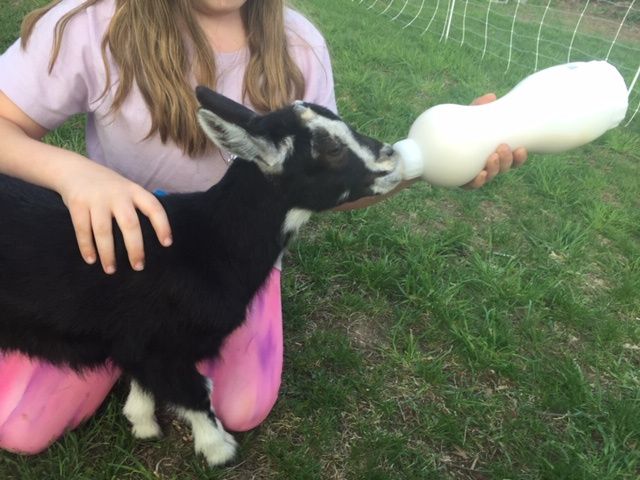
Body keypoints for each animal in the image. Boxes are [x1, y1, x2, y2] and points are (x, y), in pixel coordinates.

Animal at [0, 87, 402, 464]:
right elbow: (198, 392)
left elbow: (147, 384)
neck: (212, 243)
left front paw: (142, 423)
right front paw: (219, 449)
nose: (391, 155)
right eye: (331, 148)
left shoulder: (139, 343)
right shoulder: (161, 346)